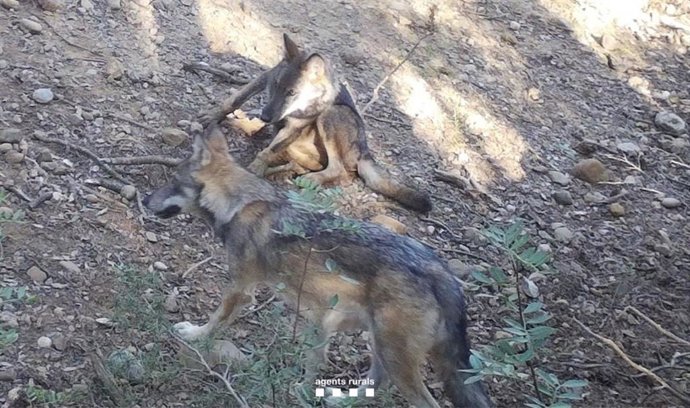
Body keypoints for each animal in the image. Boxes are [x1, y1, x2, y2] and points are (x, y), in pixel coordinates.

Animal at [142, 125, 492, 408]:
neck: (240, 204)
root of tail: (440, 270)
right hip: (379, 346)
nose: (145, 200)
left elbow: (215, 321)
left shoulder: (240, 289)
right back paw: (339, 401)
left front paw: (195, 335)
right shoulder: (316, 321)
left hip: (395, 358)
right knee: (374, 384)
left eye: (173, 182)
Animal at [198, 34, 432, 213]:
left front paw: (255, 168)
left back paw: (308, 178)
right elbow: (235, 99)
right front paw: (212, 116)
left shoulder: (295, 126)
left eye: (292, 93)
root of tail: (365, 151)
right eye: (275, 86)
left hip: (330, 115)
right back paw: (283, 168)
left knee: (340, 171)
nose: (265, 117)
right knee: (306, 164)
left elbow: (267, 152)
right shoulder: (264, 78)